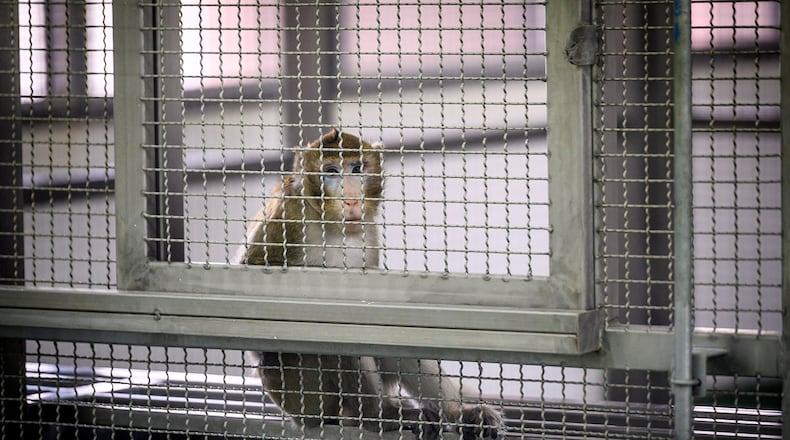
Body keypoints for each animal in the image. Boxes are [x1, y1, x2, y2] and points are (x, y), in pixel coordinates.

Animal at [236, 128, 503, 439]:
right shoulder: (288, 213)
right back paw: (380, 417)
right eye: (332, 172)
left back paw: (461, 413)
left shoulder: (369, 231)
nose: (352, 200)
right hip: (302, 395)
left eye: (357, 169)